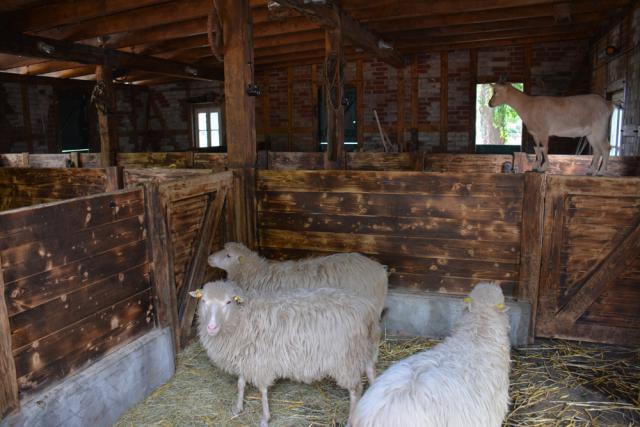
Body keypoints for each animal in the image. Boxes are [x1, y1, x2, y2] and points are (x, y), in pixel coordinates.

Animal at [189, 280, 380, 427]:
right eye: (203, 300)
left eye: (228, 302)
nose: (211, 327)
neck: (241, 318)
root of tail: (366, 308)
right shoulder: (246, 357)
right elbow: (241, 384)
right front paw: (237, 408)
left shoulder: (260, 361)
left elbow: (262, 390)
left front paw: (265, 418)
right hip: (365, 348)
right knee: (371, 371)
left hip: (346, 359)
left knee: (356, 389)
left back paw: (350, 421)